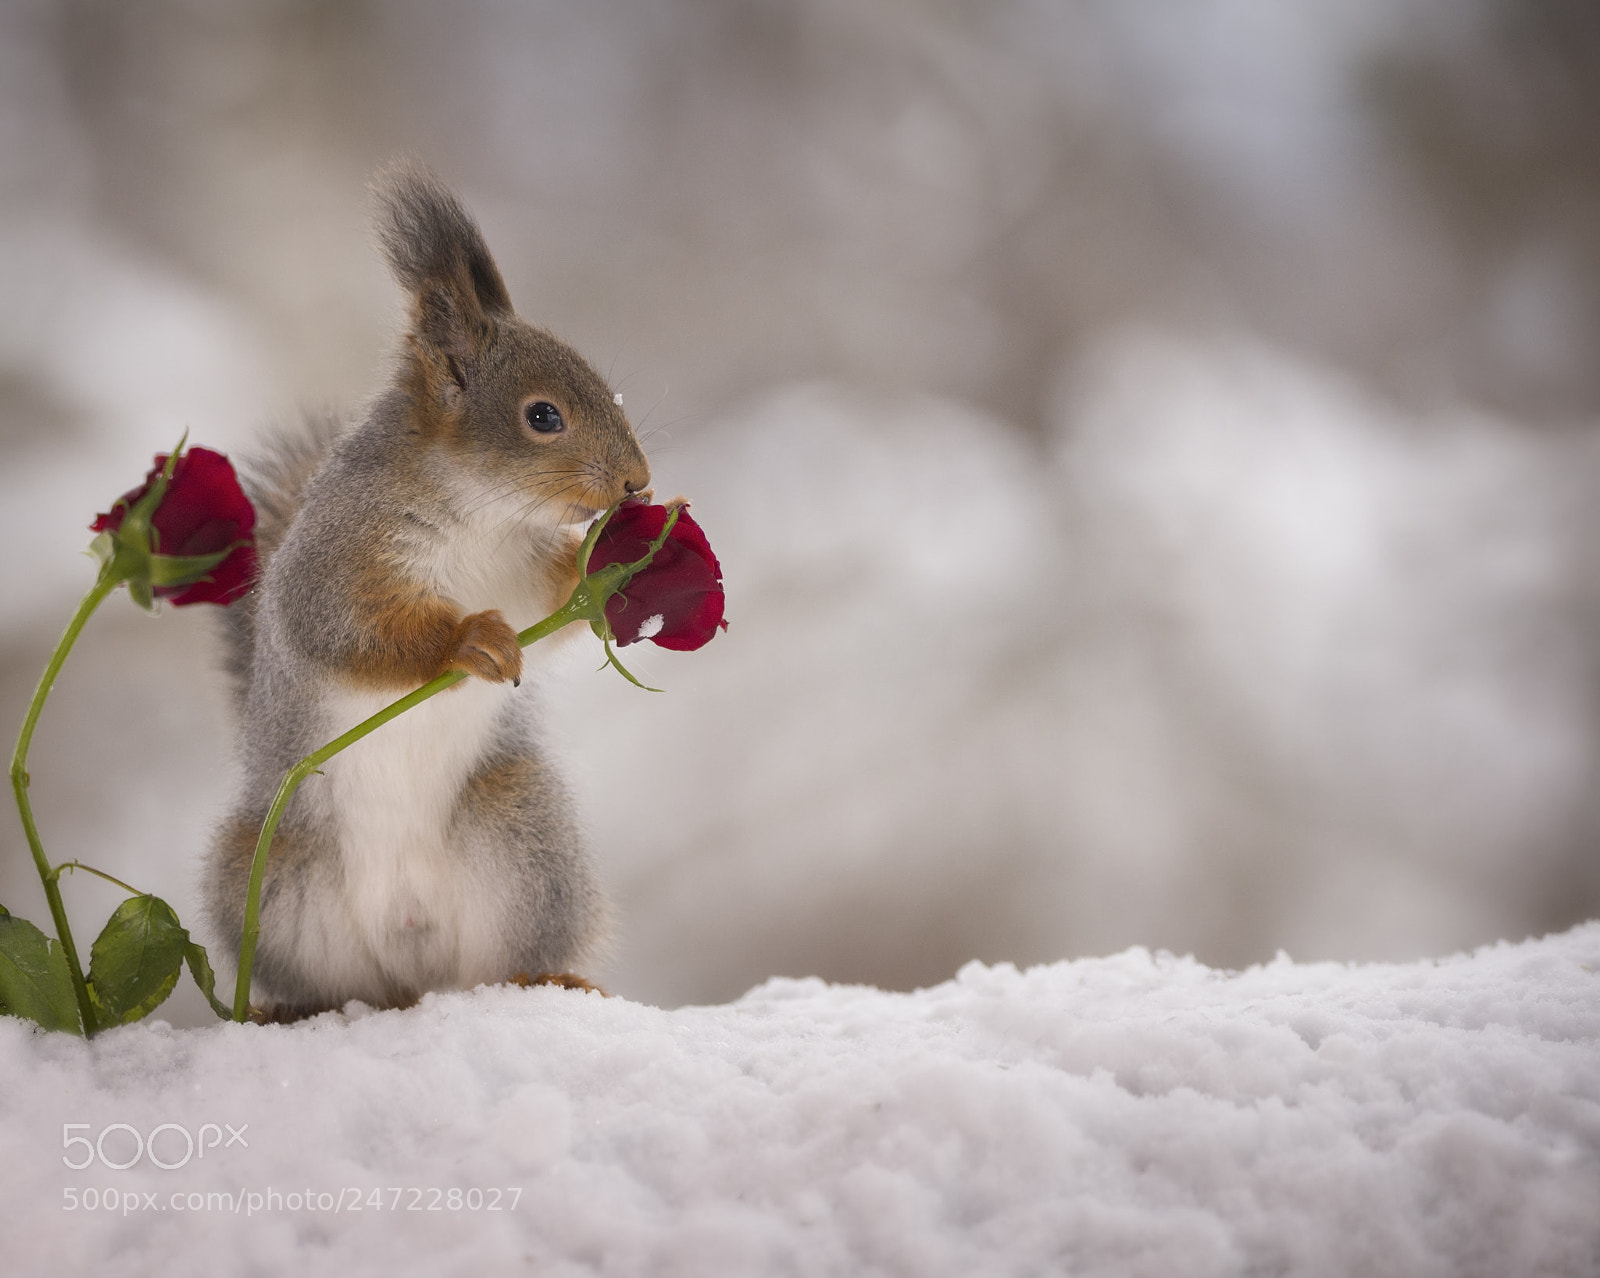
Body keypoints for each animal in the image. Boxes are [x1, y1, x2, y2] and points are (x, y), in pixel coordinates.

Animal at [203, 161, 650, 1018]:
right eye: (544, 416)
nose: (636, 484)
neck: (478, 513)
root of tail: (411, 961)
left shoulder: (521, 574)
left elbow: (556, 608)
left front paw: (622, 568)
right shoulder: (338, 565)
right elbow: (352, 635)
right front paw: (468, 641)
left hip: (521, 831)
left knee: (502, 963)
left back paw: (548, 976)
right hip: (267, 877)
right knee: (340, 987)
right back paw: (298, 1006)